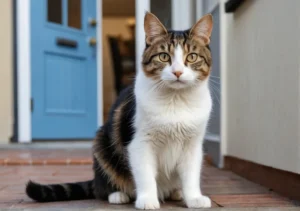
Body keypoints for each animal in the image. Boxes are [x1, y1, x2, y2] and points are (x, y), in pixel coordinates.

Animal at [25, 11, 213, 209]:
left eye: (191, 57)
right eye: (163, 56)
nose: (177, 72)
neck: (176, 101)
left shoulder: (193, 145)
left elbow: (191, 175)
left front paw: (194, 198)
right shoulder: (139, 142)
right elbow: (145, 174)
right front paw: (147, 199)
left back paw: (177, 192)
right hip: (101, 143)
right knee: (102, 188)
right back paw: (118, 195)